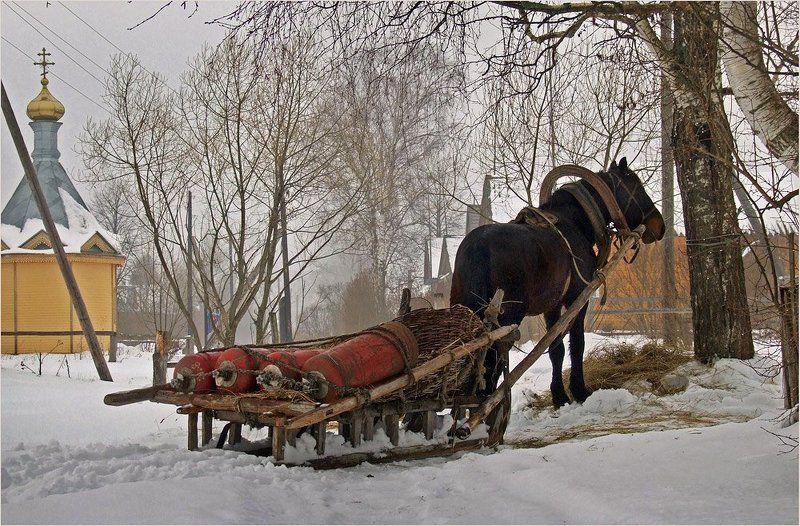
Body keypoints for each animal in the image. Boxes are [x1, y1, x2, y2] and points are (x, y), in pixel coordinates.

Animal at [450, 158, 665, 407]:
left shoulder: (552, 306)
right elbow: (577, 344)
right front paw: (579, 391)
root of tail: (477, 248)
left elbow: (556, 349)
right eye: (636, 185)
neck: (573, 224)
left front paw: (559, 395)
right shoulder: (577, 300)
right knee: (492, 361)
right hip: (506, 316)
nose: (660, 226)